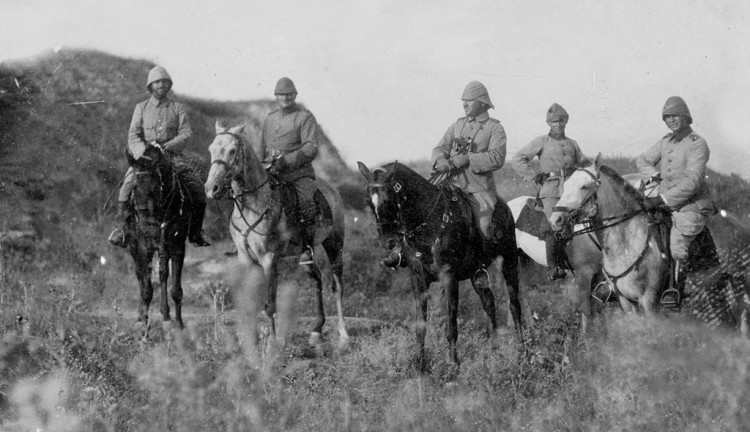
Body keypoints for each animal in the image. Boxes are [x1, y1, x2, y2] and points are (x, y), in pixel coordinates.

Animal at [124, 144, 194, 334]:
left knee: (163, 274)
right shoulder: (143, 247)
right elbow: (146, 287)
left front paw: (177, 323)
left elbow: (175, 287)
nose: (145, 226)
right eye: (133, 187)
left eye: (154, 186)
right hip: (134, 247)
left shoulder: (177, 246)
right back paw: (141, 317)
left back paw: (166, 315)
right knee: (140, 276)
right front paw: (143, 324)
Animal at [204, 121, 349, 349]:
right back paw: (317, 330)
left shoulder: (269, 259)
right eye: (212, 149)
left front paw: (273, 342)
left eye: (232, 150)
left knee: (337, 286)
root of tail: (332, 190)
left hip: (334, 246)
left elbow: (270, 304)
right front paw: (251, 340)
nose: (212, 188)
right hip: (307, 254)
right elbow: (251, 303)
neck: (253, 204)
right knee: (317, 282)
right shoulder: (246, 260)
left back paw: (343, 333)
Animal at [358, 161, 523, 370]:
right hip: (477, 274)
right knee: (489, 303)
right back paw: (495, 352)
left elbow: (451, 325)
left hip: (509, 264)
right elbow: (421, 326)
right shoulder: (418, 279)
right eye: (367, 201)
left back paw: (523, 352)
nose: (387, 242)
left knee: (514, 306)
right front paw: (419, 364)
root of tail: (505, 207)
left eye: (388, 199)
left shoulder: (449, 278)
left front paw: (453, 364)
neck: (430, 223)